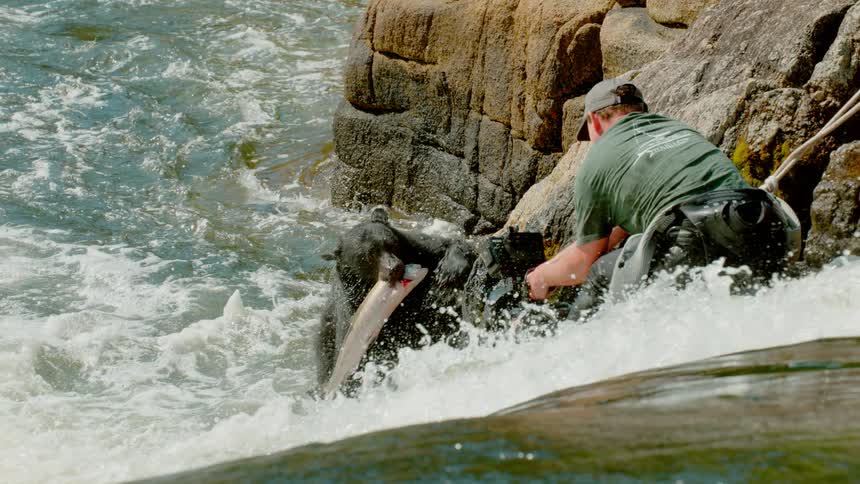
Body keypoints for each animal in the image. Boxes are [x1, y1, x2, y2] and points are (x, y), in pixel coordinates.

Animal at [316, 206, 476, 395]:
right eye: (368, 256)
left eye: (388, 244)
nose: (394, 268)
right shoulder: (351, 306)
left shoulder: (421, 250)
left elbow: (449, 244)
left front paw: (450, 270)